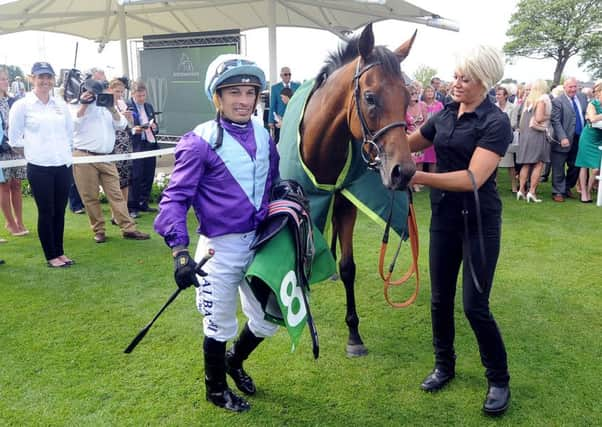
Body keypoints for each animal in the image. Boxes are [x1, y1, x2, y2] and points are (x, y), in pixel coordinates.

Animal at [278, 23, 414, 358]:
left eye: (408, 97)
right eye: (370, 97)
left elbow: (349, 265)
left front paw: (354, 334)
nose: (403, 172)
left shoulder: (345, 203)